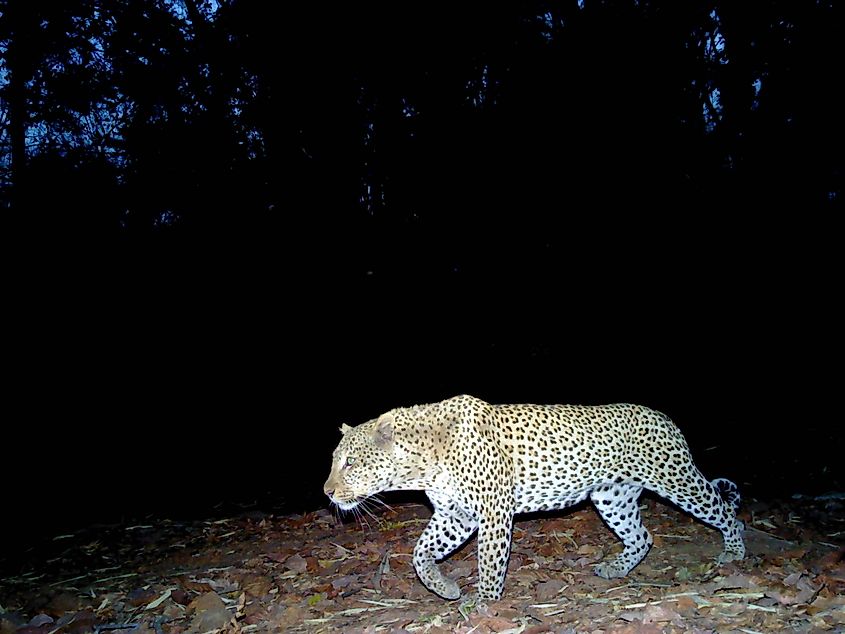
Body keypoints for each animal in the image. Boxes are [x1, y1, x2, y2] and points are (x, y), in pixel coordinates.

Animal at [324, 392, 744, 600]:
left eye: (350, 462)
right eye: (335, 461)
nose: (326, 491)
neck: (421, 464)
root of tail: (665, 418)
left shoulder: (492, 512)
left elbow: (490, 563)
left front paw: (485, 603)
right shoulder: (455, 515)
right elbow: (420, 554)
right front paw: (445, 588)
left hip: (676, 480)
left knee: (726, 512)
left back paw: (734, 556)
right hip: (613, 497)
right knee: (642, 537)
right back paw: (616, 569)